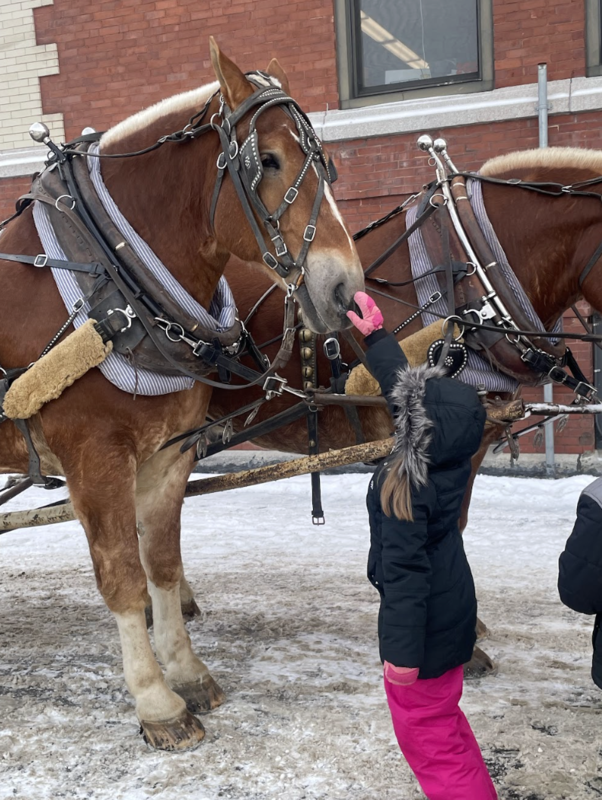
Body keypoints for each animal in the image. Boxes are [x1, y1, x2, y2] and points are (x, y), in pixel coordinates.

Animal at [0, 39, 364, 751]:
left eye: (327, 162)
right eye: (267, 160)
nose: (345, 290)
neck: (116, 283)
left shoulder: (169, 456)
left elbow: (161, 567)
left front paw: (188, 671)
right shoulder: (96, 460)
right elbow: (122, 577)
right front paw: (155, 701)